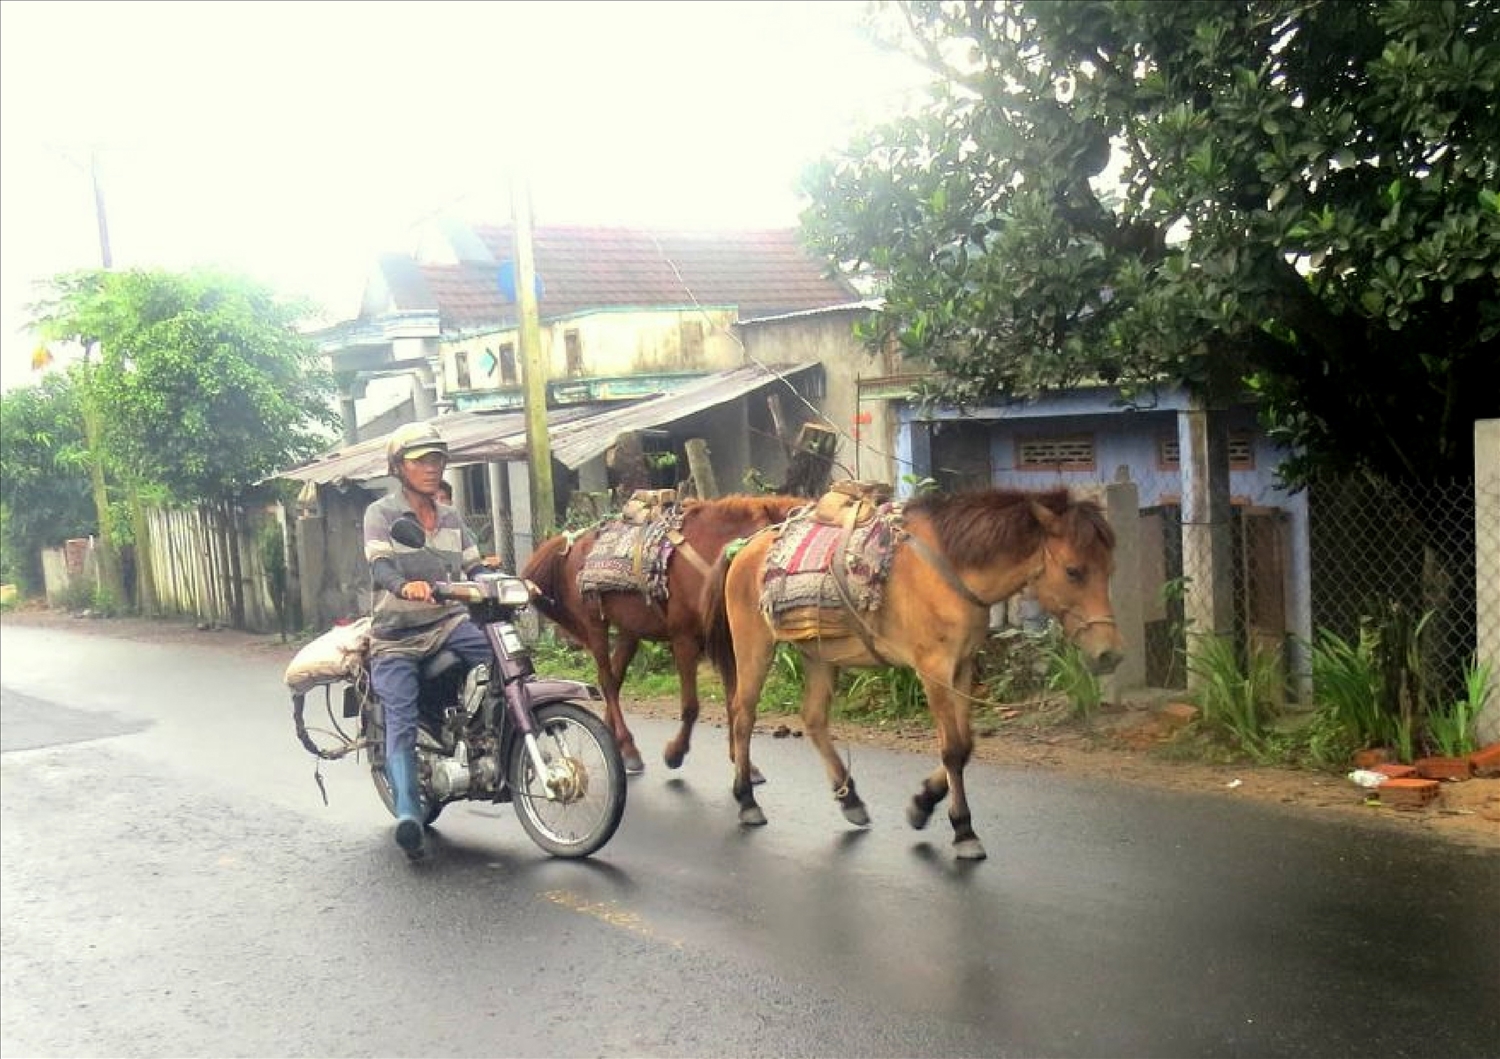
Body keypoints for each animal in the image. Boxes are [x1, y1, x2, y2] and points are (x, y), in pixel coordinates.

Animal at [528, 492, 810, 774]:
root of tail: (572, 544)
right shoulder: (684, 639)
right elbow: (691, 706)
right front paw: (675, 753)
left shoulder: (726, 641)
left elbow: (734, 702)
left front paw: (743, 763)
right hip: (594, 623)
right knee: (607, 681)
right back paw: (628, 746)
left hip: (629, 631)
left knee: (615, 679)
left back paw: (618, 743)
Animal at [696, 486, 1122, 858]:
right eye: (1073, 571)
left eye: (1110, 569)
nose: (1110, 654)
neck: (953, 567)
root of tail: (745, 548)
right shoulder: (933, 670)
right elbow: (953, 749)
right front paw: (963, 830)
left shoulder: (962, 667)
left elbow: (965, 744)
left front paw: (923, 803)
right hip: (755, 648)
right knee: (743, 716)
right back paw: (747, 801)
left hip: (819, 654)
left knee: (813, 718)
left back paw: (850, 800)